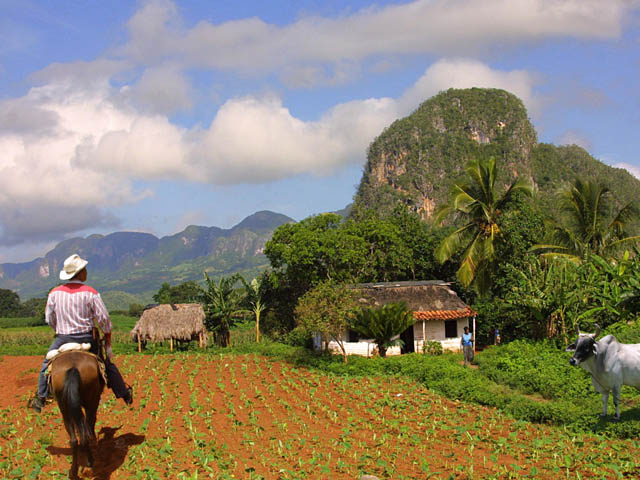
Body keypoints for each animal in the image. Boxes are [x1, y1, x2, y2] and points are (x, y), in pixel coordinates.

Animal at [49, 348, 104, 480]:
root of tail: (73, 367)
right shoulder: (94, 402)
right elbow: (91, 424)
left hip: (64, 407)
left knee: (74, 440)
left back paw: (73, 471)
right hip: (90, 401)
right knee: (86, 431)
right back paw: (89, 461)